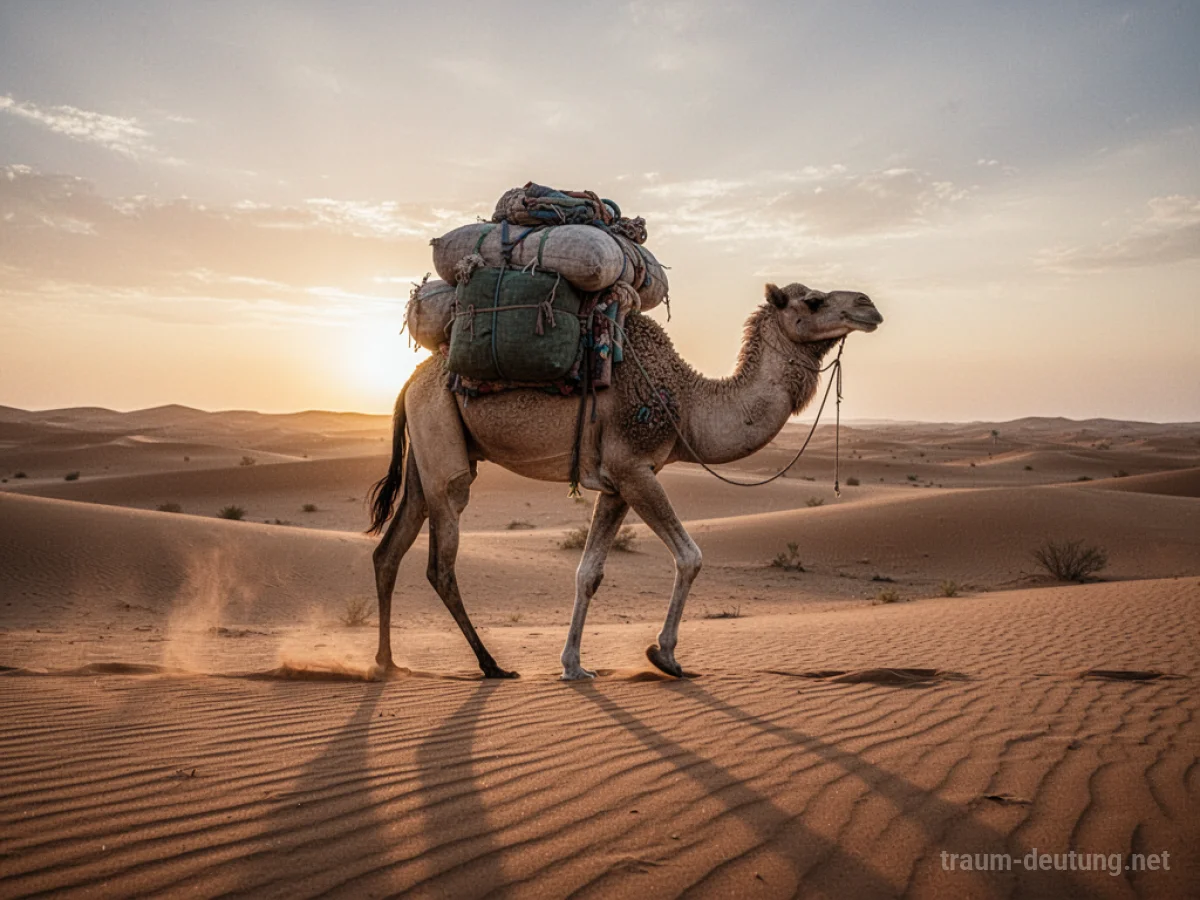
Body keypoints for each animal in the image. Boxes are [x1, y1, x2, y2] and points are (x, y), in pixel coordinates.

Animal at [368, 282, 883, 680]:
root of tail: (409, 382)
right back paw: (490, 665)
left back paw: (387, 663)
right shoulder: (635, 468)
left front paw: (573, 665)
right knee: (440, 560)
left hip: (426, 453)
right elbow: (690, 557)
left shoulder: (615, 484)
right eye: (813, 301)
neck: (688, 403)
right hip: (443, 444)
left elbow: (589, 572)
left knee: (389, 549)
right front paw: (665, 656)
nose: (868, 305)